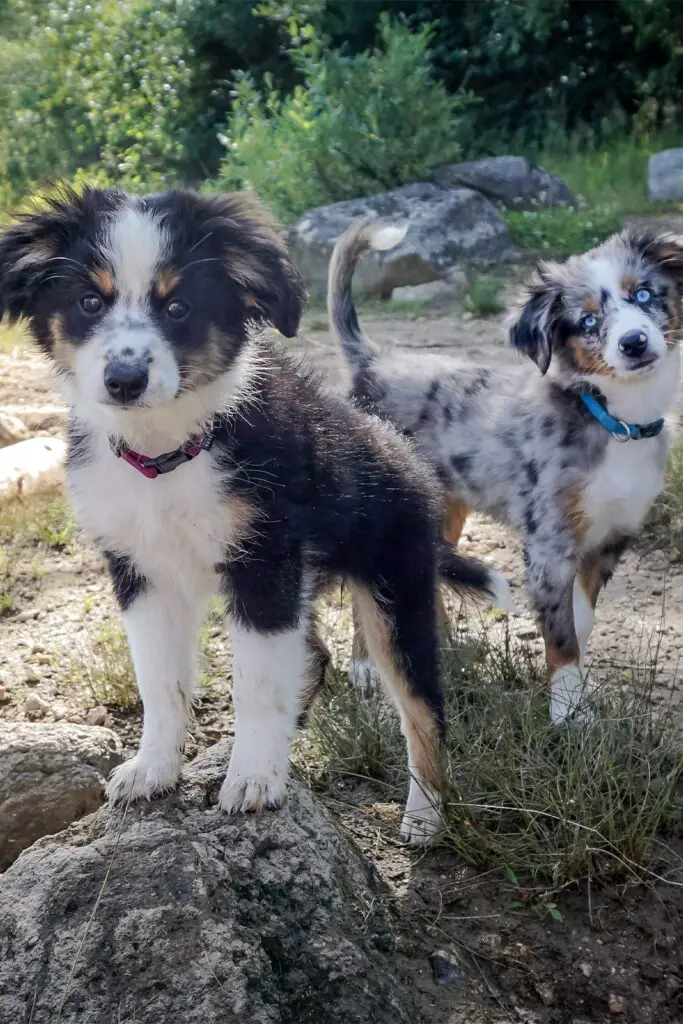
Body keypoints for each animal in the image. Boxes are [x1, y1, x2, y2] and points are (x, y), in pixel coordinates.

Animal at [0, 188, 507, 843]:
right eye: (90, 301)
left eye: (179, 307)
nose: (124, 380)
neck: (167, 454)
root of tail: (409, 460)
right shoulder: (141, 574)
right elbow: (159, 682)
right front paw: (154, 768)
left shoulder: (264, 566)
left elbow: (257, 685)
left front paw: (254, 779)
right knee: (315, 658)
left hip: (394, 590)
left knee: (423, 709)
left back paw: (425, 816)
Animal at [327, 221, 679, 724]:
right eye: (588, 322)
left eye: (645, 294)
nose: (634, 343)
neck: (612, 418)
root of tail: (370, 359)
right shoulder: (549, 545)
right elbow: (561, 634)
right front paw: (567, 712)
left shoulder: (611, 539)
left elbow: (580, 620)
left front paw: (579, 691)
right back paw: (366, 667)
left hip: (445, 506)